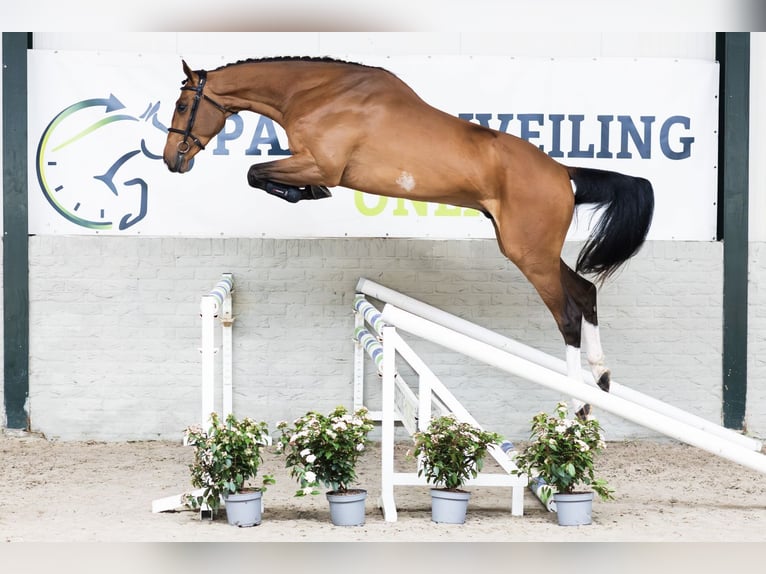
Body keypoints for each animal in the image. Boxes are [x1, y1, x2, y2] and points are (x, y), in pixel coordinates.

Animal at [163, 56, 654, 419]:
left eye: (183, 107)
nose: (172, 160)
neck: (318, 93)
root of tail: (563, 173)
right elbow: (257, 173)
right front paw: (304, 193)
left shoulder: (320, 164)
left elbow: (256, 172)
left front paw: (305, 193)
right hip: (532, 250)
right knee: (586, 292)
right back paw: (600, 380)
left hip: (528, 254)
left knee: (568, 315)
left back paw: (578, 404)